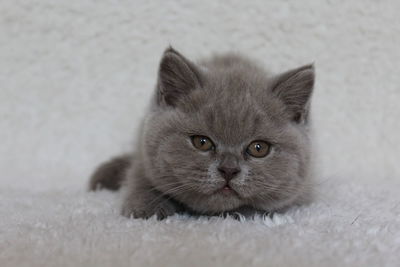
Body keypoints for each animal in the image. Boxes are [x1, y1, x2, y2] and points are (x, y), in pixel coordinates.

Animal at [88, 47, 316, 220]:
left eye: (258, 148)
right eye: (202, 142)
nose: (229, 170)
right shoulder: (144, 156)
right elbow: (139, 177)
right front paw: (147, 208)